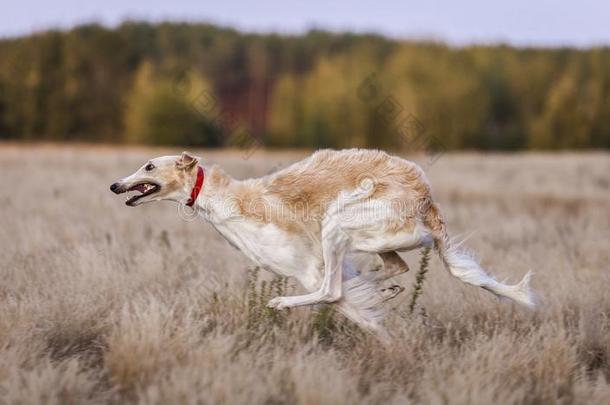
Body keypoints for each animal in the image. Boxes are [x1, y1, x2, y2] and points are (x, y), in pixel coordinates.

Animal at [110, 148, 532, 338]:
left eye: (149, 166)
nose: (115, 185)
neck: (226, 200)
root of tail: (428, 203)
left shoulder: (307, 267)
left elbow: (342, 299)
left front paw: (390, 343)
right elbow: (357, 295)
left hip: (341, 221)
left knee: (334, 289)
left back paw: (282, 302)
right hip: (372, 237)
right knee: (394, 267)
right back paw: (385, 288)